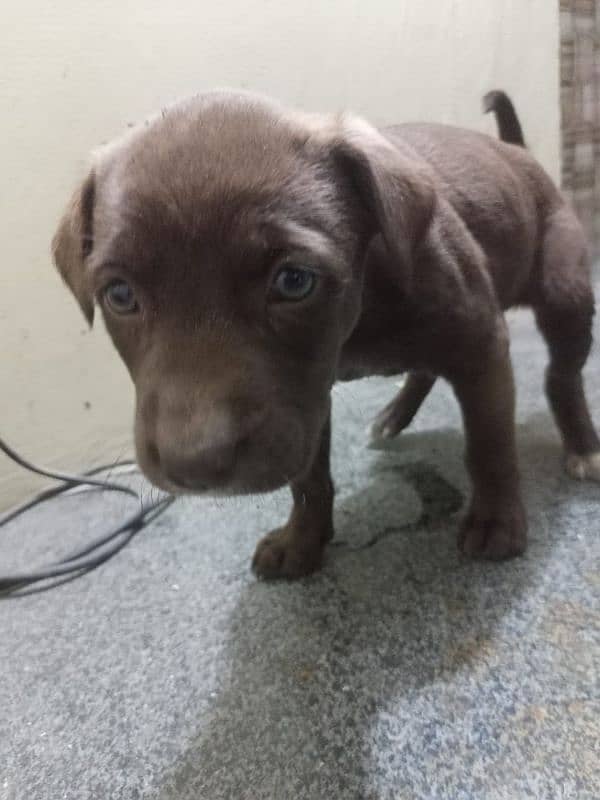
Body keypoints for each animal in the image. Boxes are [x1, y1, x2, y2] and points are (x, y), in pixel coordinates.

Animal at [52, 90, 600, 580]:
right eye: (120, 295)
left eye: (294, 280)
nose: (195, 466)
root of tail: (518, 152)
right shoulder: (306, 399)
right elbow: (309, 479)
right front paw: (302, 541)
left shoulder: (480, 345)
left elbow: (489, 443)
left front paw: (495, 520)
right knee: (427, 369)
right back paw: (394, 414)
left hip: (565, 289)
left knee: (561, 375)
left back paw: (583, 446)